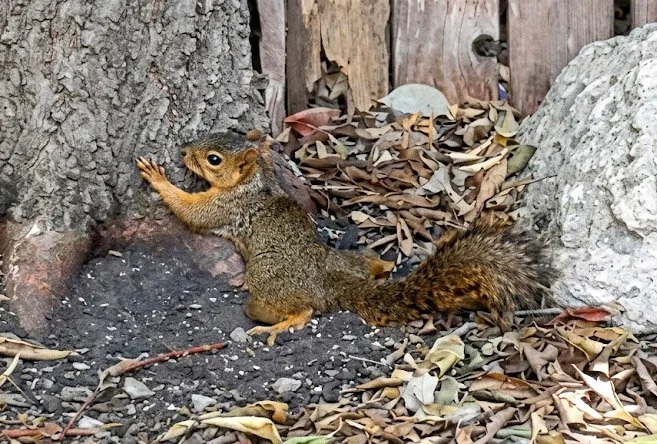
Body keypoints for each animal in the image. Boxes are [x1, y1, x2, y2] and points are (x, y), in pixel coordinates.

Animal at [136, 132, 554, 345]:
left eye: (213, 160)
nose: (182, 150)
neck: (255, 183)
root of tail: (332, 284)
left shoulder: (227, 208)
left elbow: (192, 212)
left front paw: (158, 178)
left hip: (266, 286)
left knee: (301, 309)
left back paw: (279, 324)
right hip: (344, 260)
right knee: (364, 264)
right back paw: (382, 265)